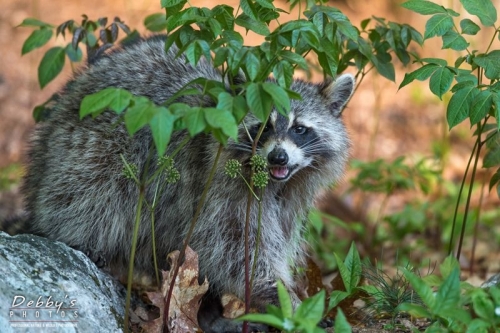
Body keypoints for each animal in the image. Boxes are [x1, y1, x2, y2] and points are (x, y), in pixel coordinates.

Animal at [8, 35, 352, 330]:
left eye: (300, 129)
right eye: (264, 126)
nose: (278, 157)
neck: (272, 181)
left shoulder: (291, 196)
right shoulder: (218, 185)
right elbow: (236, 248)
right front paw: (279, 296)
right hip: (91, 145)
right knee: (96, 191)